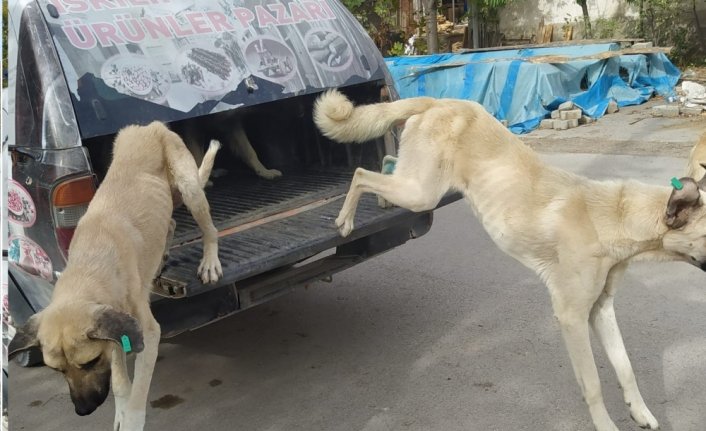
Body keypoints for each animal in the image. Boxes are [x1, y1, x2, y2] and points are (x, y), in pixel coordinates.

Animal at [8, 121, 221, 431]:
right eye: (58, 370)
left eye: (89, 362)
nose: (83, 411)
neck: (89, 266)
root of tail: (150, 125)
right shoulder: (117, 330)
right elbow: (121, 382)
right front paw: (120, 412)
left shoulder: (145, 333)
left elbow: (138, 390)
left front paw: (131, 419)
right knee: (169, 223)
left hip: (190, 187)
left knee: (209, 228)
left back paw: (210, 260)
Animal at [314, 90, 704, 431]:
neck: (615, 215)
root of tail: (440, 101)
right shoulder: (572, 317)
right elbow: (593, 383)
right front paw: (608, 426)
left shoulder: (601, 310)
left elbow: (626, 368)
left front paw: (641, 413)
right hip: (419, 192)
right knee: (361, 174)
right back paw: (345, 220)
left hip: (416, 185)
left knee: (383, 164)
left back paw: (379, 204)